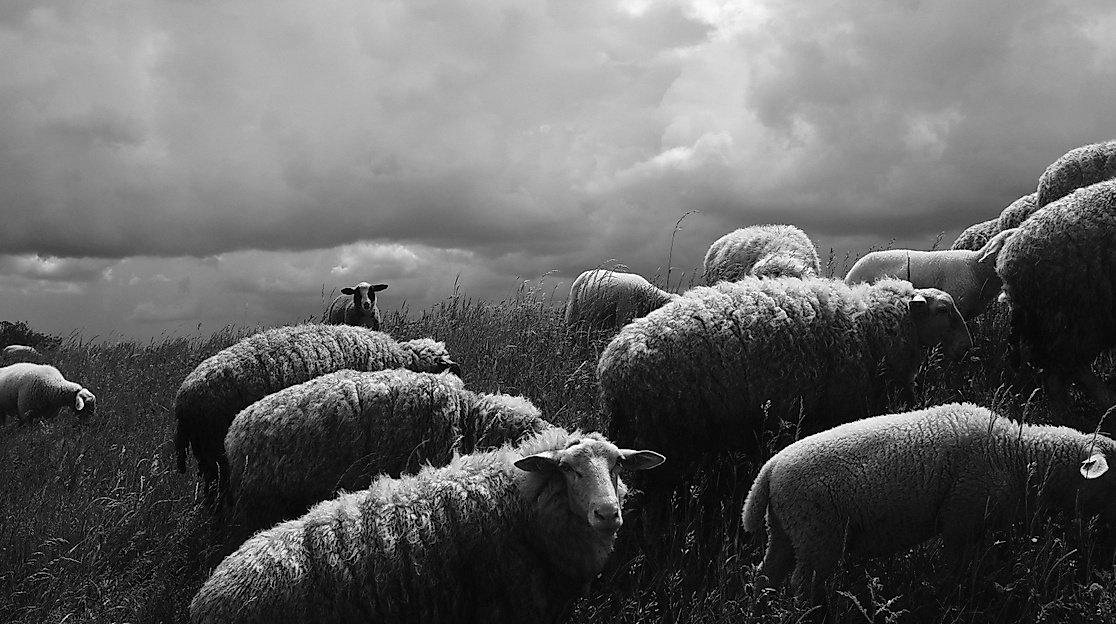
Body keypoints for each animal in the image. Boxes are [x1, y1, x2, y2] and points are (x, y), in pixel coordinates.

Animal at [742, 402, 1116, 605]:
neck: (1015, 455)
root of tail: (769, 471)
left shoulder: (975, 525)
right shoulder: (959, 519)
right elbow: (953, 568)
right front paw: (948, 594)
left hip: (785, 530)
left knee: (765, 574)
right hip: (816, 534)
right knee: (802, 584)